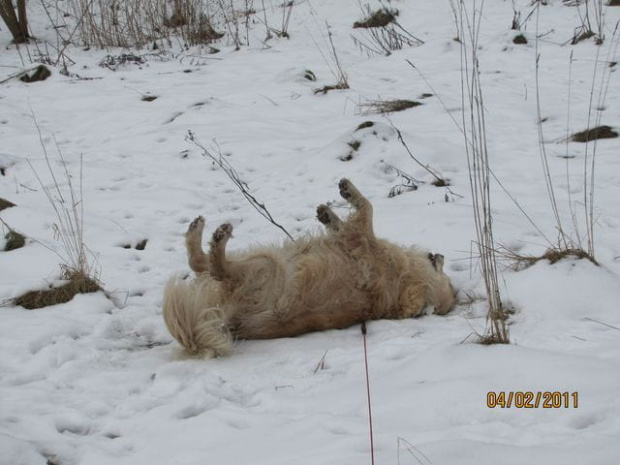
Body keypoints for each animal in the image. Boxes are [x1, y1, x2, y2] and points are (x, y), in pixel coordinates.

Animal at [163, 178, 456, 356]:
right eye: (445, 275)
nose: (441, 255)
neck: (402, 279)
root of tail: (231, 321)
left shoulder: (359, 238)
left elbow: (366, 209)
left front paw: (347, 191)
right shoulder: (353, 238)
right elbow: (350, 218)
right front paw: (328, 213)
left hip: (262, 265)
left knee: (211, 266)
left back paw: (216, 237)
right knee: (201, 265)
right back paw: (197, 230)